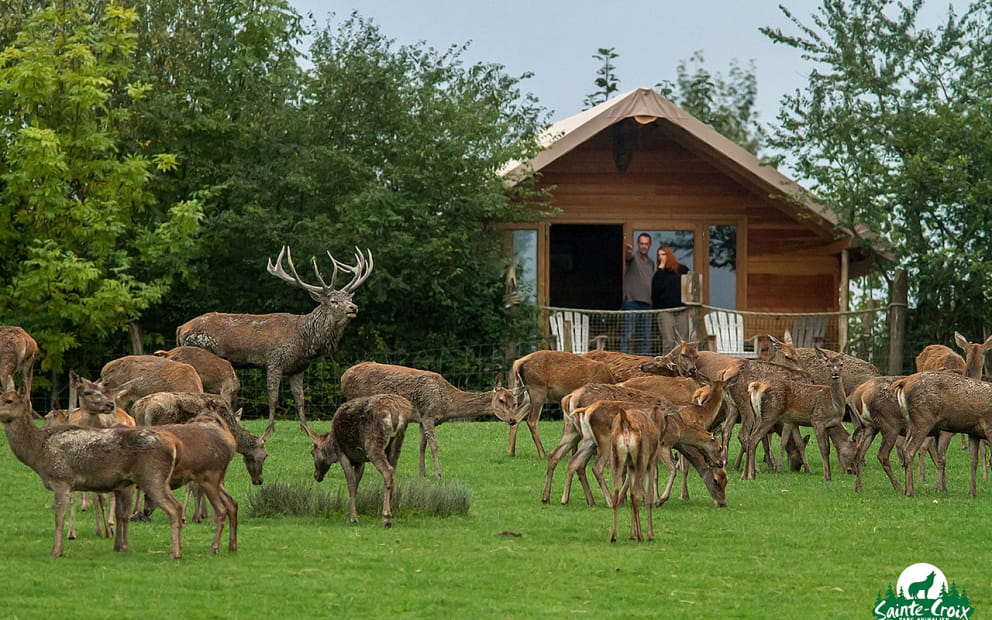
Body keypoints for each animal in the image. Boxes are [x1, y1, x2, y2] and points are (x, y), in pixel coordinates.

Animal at [0, 380, 184, 560]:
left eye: (9, 400)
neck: (38, 452)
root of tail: (175, 444)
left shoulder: (61, 479)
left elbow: (59, 517)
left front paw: (56, 552)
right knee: (175, 506)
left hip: (152, 476)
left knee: (174, 508)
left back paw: (175, 553)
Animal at [176, 246, 374, 426]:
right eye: (334, 301)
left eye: (349, 298)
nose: (353, 308)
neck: (305, 340)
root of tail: (180, 328)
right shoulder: (274, 361)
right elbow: (273, 399)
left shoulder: (298, 367)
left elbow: (300, 401)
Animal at [300, 394, 412, 524]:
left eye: (312, 453)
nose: (316, 475)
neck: (331, 445)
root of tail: (396, 412)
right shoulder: (360, 460)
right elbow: (356, 484)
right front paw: (352, 514)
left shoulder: (342, 454)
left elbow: (351, 484)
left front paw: (353, 517)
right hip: (397, 443)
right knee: (393, 471)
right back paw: (391, 510)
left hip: (373, 443)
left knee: (387, 471)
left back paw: (386, 517)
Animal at [340, 360, 516, 478]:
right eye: (501, 400)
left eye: (515, 401)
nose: (513, 420)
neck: (447, 403)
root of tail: (342, 377)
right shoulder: (429, 416)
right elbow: (434, 446)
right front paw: (438, 474)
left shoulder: (422, 419)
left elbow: (422, 445)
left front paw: (422, 474)